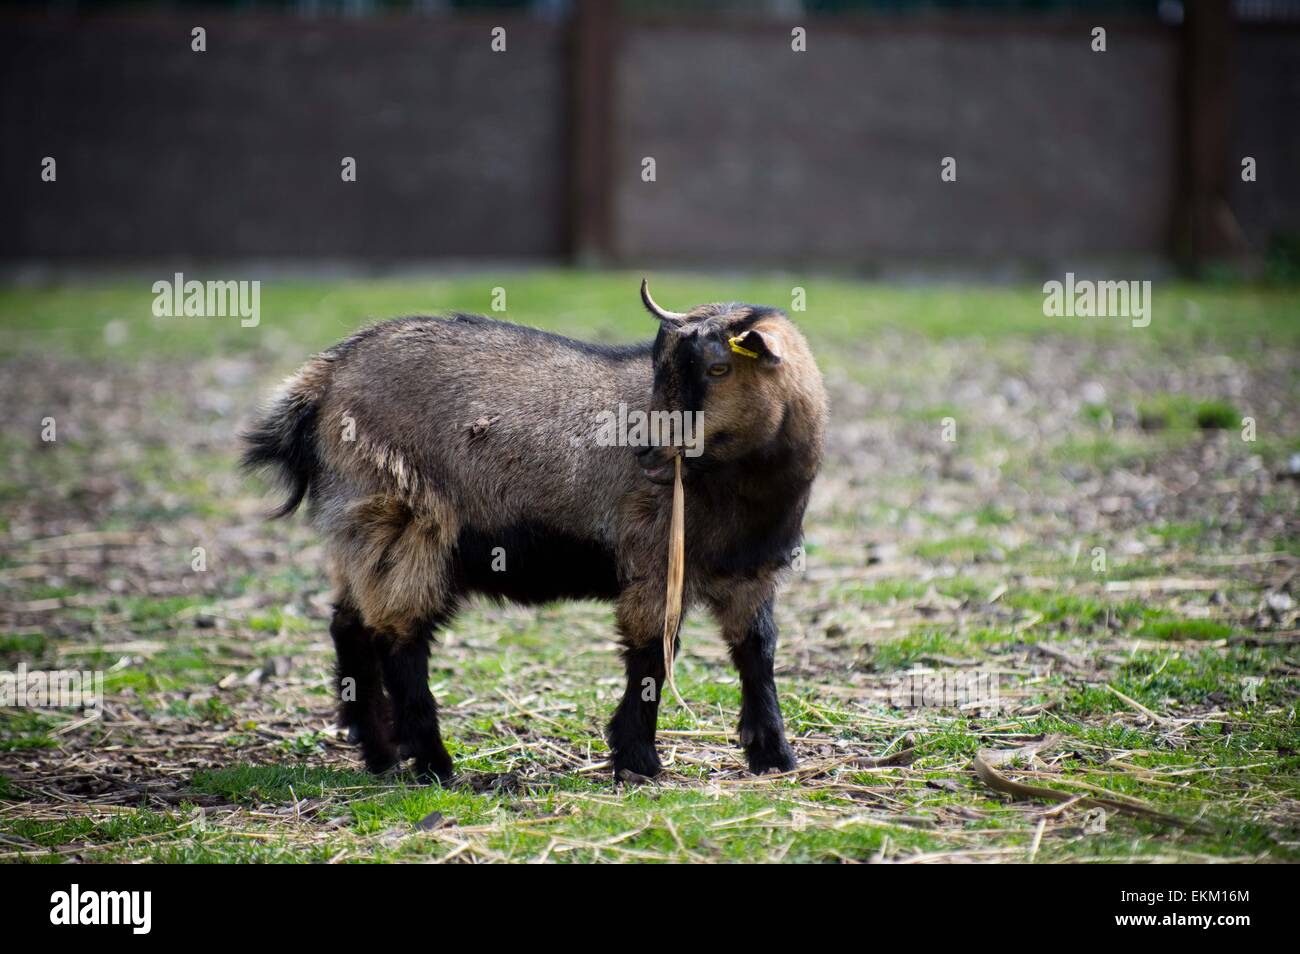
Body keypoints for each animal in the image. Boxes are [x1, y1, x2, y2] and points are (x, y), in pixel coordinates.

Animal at [243, 278, 826, 785]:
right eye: (659, 366)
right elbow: (651, 657)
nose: (647, 452)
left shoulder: (752, 572)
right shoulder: (655, 561)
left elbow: (758, 651)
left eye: (719, 367)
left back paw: (381, 753)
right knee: (401, 640)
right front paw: (637, 759)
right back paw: (434, 764)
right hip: (404, 518)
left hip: (361, 529)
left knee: (351, 626)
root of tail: (323, 378)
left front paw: (774, 756)